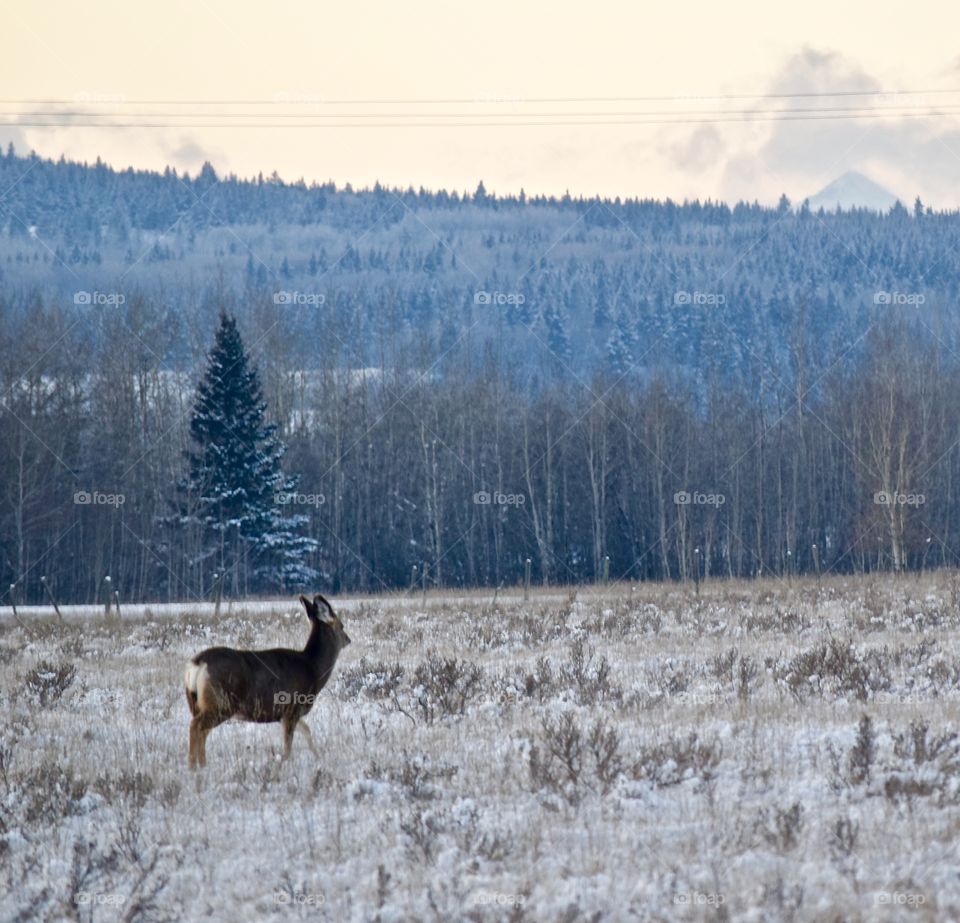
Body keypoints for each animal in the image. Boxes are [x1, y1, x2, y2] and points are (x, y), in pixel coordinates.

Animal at [184, 593, 351, 769]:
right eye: (342, 625)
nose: (348, 639)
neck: (313, 669)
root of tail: (196, 664)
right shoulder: (292, 708)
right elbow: (288, 748)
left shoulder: (285, 715)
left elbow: (307, 731)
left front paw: (319, 757)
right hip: (221, 702)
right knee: (196, 726)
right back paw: (193, 768)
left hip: (198, 703)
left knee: (202, 730)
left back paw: (202, 766)